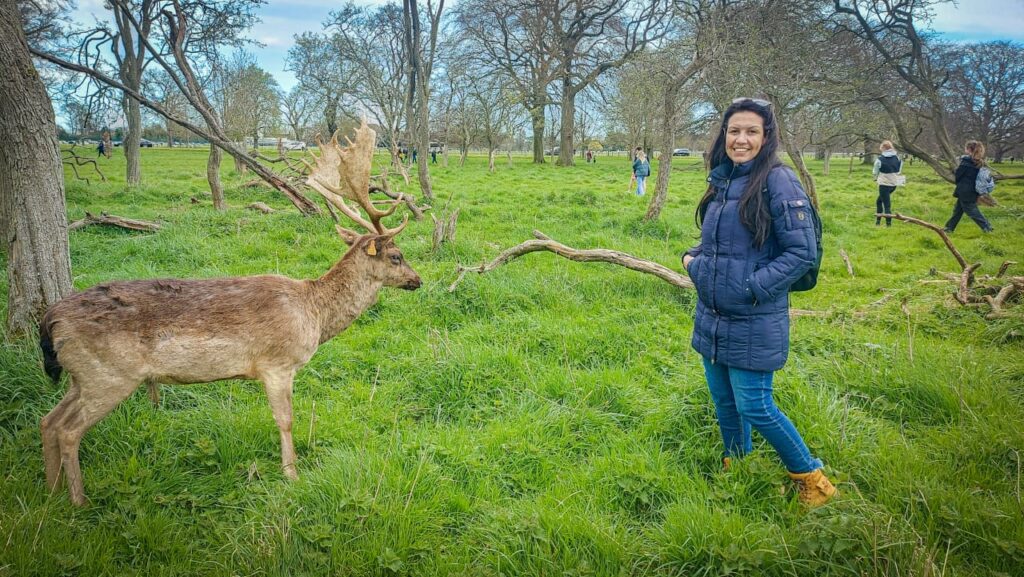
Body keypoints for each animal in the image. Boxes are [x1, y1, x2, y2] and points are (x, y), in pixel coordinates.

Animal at [38, 122, 415, 506]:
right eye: (396, 256)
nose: (418, 280)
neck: (313, 313)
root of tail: (51, 318)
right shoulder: (277, 364)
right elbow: (285, 420)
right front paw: (292, 475)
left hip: (83, 375)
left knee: (48, 421)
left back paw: (51, 493)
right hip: (109, 374)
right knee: (68, 429)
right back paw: (78, 500)